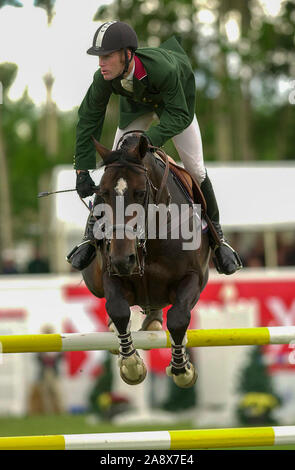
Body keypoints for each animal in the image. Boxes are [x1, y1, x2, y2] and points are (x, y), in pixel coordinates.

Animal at [81, 133, 210, 390]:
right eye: (103, 193)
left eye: (140, 193)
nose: (123, 259)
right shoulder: (111, 274)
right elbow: (118, 309)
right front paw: (131, 366)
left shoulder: (194, 278)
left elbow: (178, 318)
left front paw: (182, 370)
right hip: (95, 281)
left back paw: (154, 323)